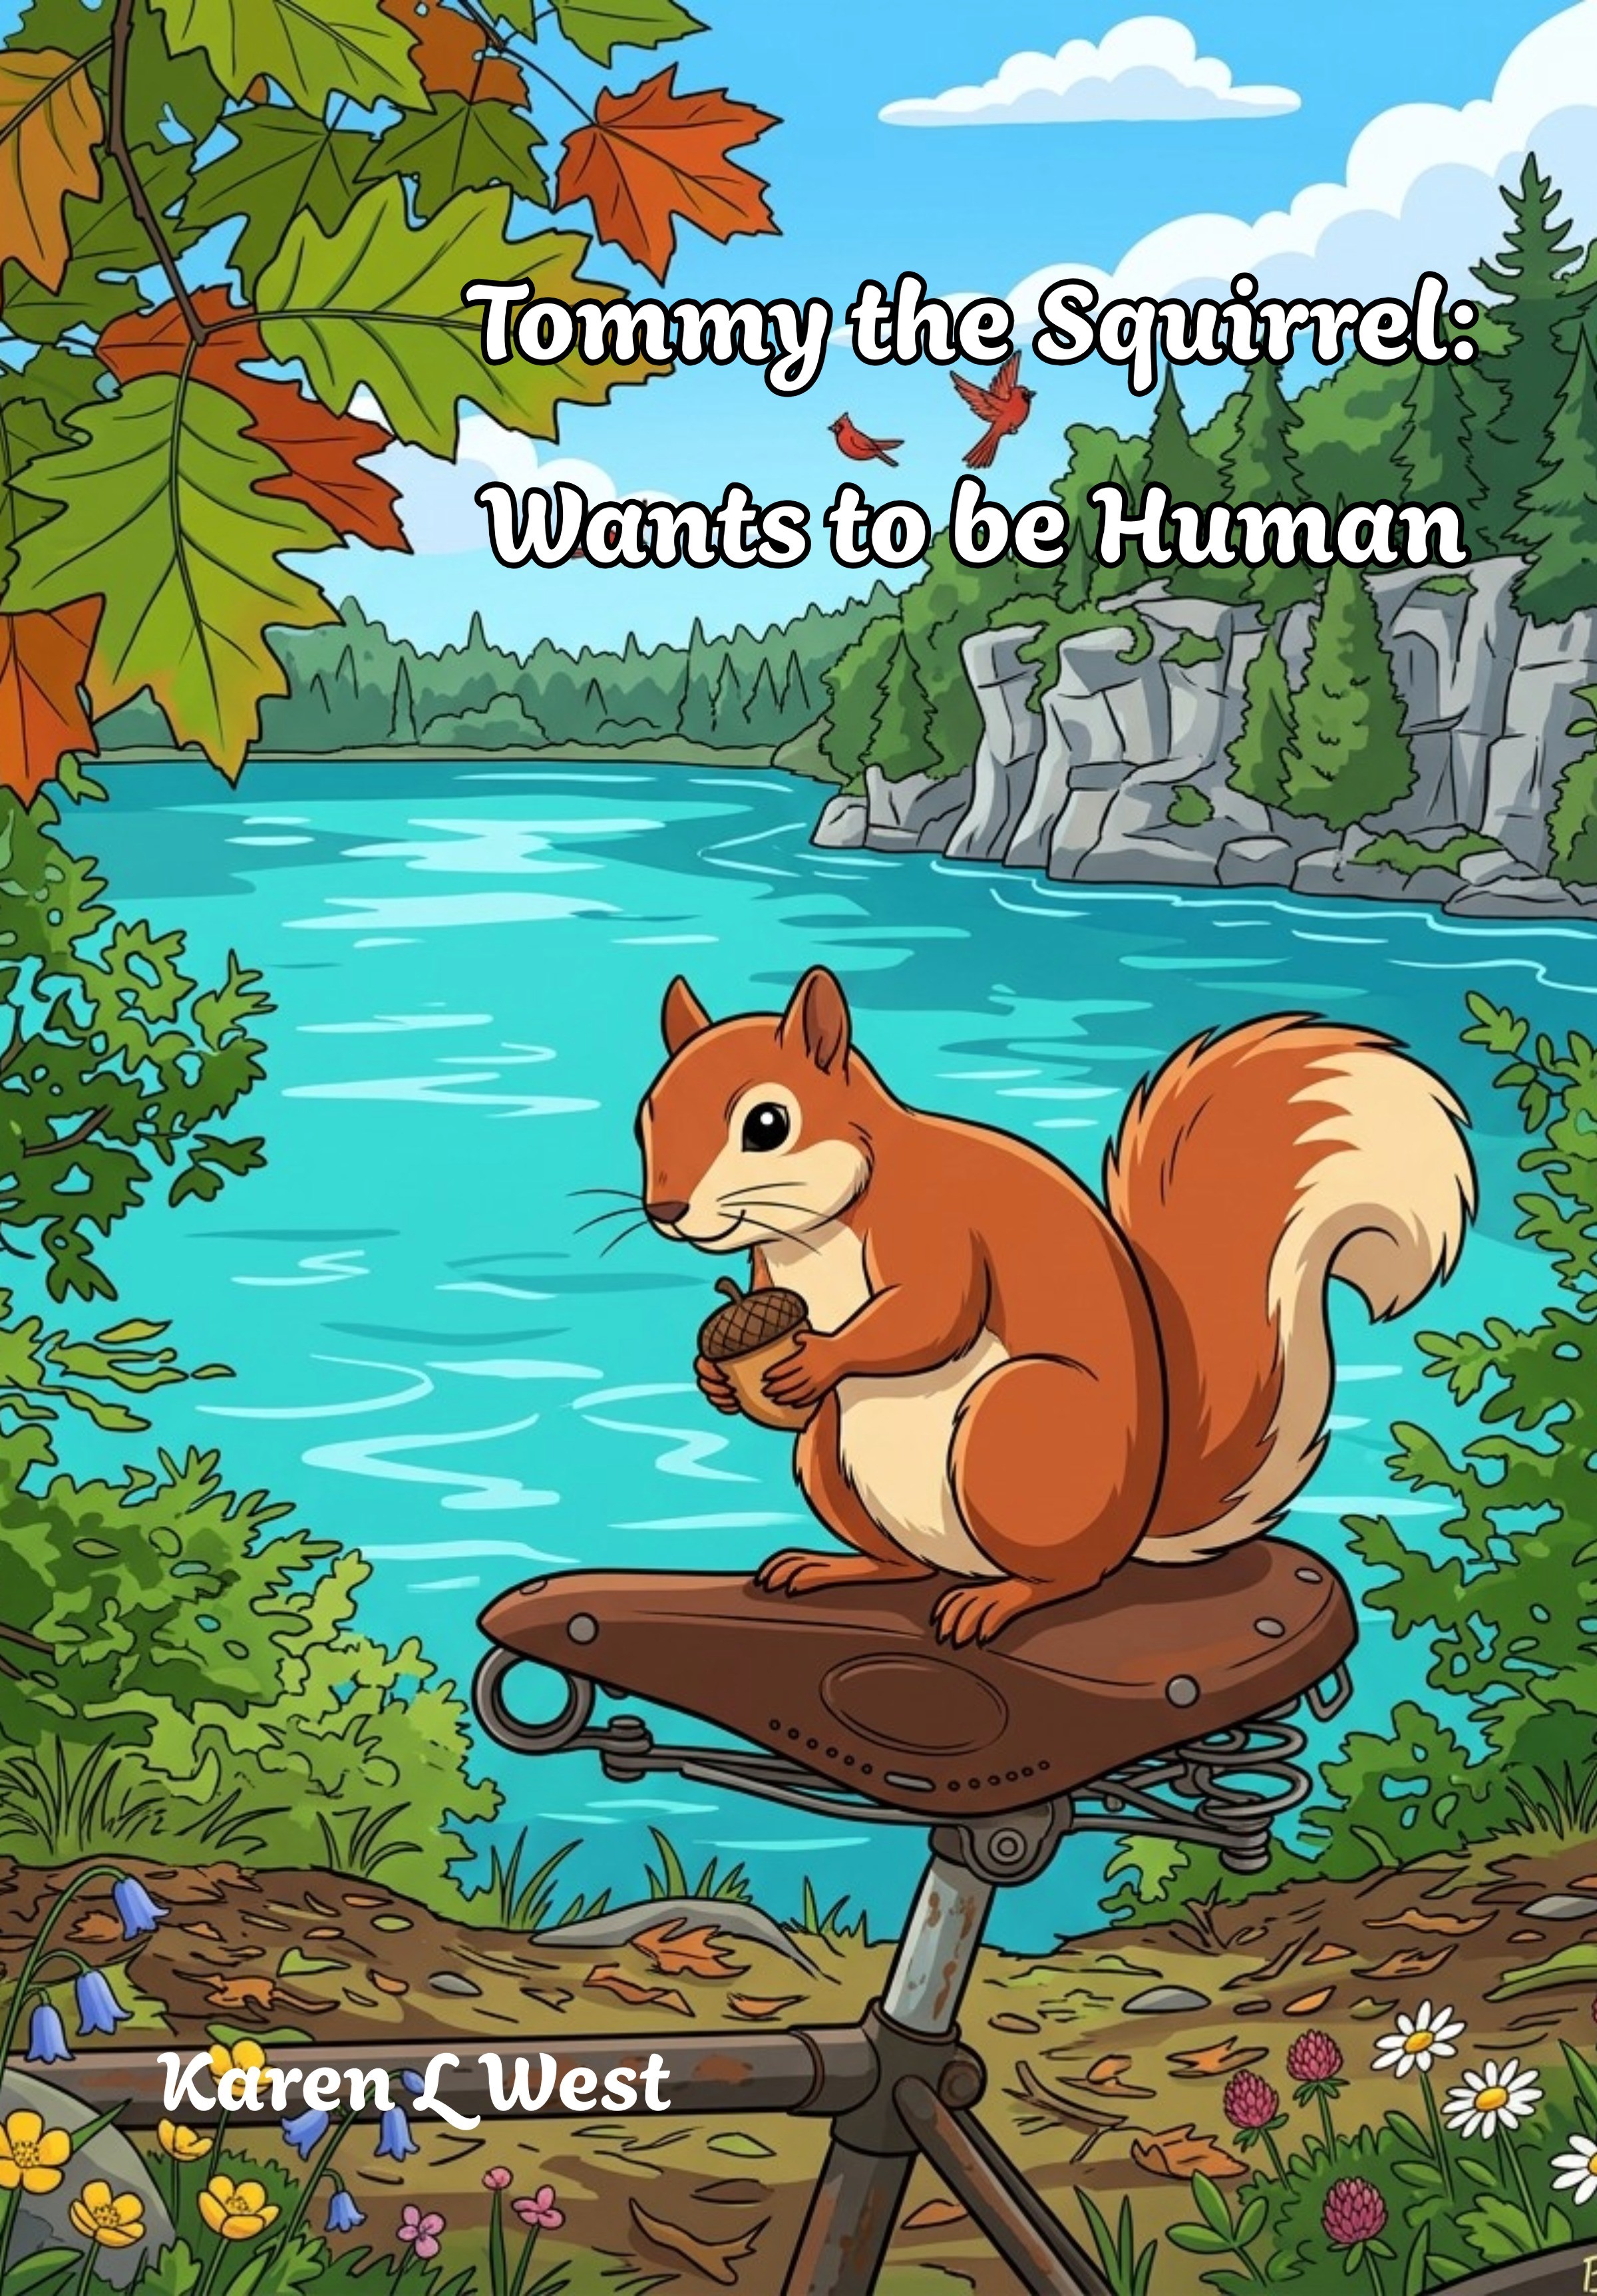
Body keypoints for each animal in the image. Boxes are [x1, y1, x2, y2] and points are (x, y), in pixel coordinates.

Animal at [636, 966, 1476, 1647]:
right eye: (647, 1115)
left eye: (767, 1125)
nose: (665, 1212)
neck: (812, 1234)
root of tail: (1136, 1520)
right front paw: (719, 1384)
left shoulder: (936, 1225)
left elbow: (933, 1315)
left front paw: (819, 1358)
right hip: (829, 1458)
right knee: (904, 1563)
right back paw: (833, 1567)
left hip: (1016, 1425)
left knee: (1072, 1575)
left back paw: (999, 1600)